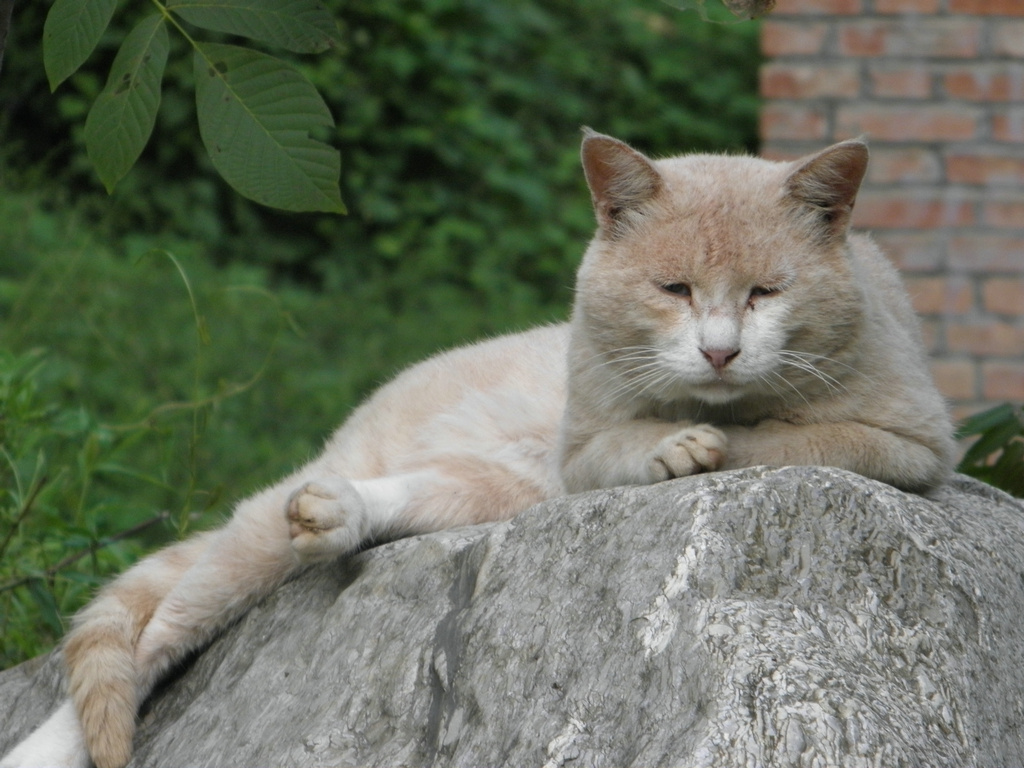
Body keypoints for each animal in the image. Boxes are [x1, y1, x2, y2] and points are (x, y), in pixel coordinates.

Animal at [4, 132, 954, 768]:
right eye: (673, 289)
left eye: (765, 294)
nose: (720, 351)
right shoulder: (582, 446)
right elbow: (638, 443)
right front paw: (672, 446)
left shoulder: (911, 443)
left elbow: (778, 437)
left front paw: (705, 440)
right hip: (253, 547)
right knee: (144, 646)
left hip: (480, 495)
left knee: (380, 506)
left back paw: (339, 512)